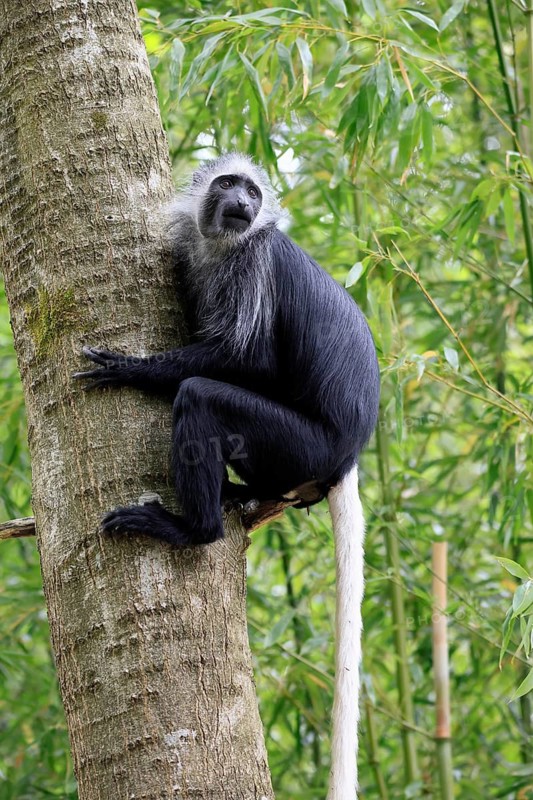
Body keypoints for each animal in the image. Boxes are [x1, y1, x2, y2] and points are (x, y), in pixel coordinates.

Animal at [74, 153, 380, 800]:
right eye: (227, 184)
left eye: (253, 192)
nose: (241, 201)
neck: (221, 246)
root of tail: (345, 458)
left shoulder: (252, 266)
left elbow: (250, 361)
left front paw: (131, 369)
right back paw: (245, 494)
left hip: (299, 443)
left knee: (202, 396)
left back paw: (195, 527)